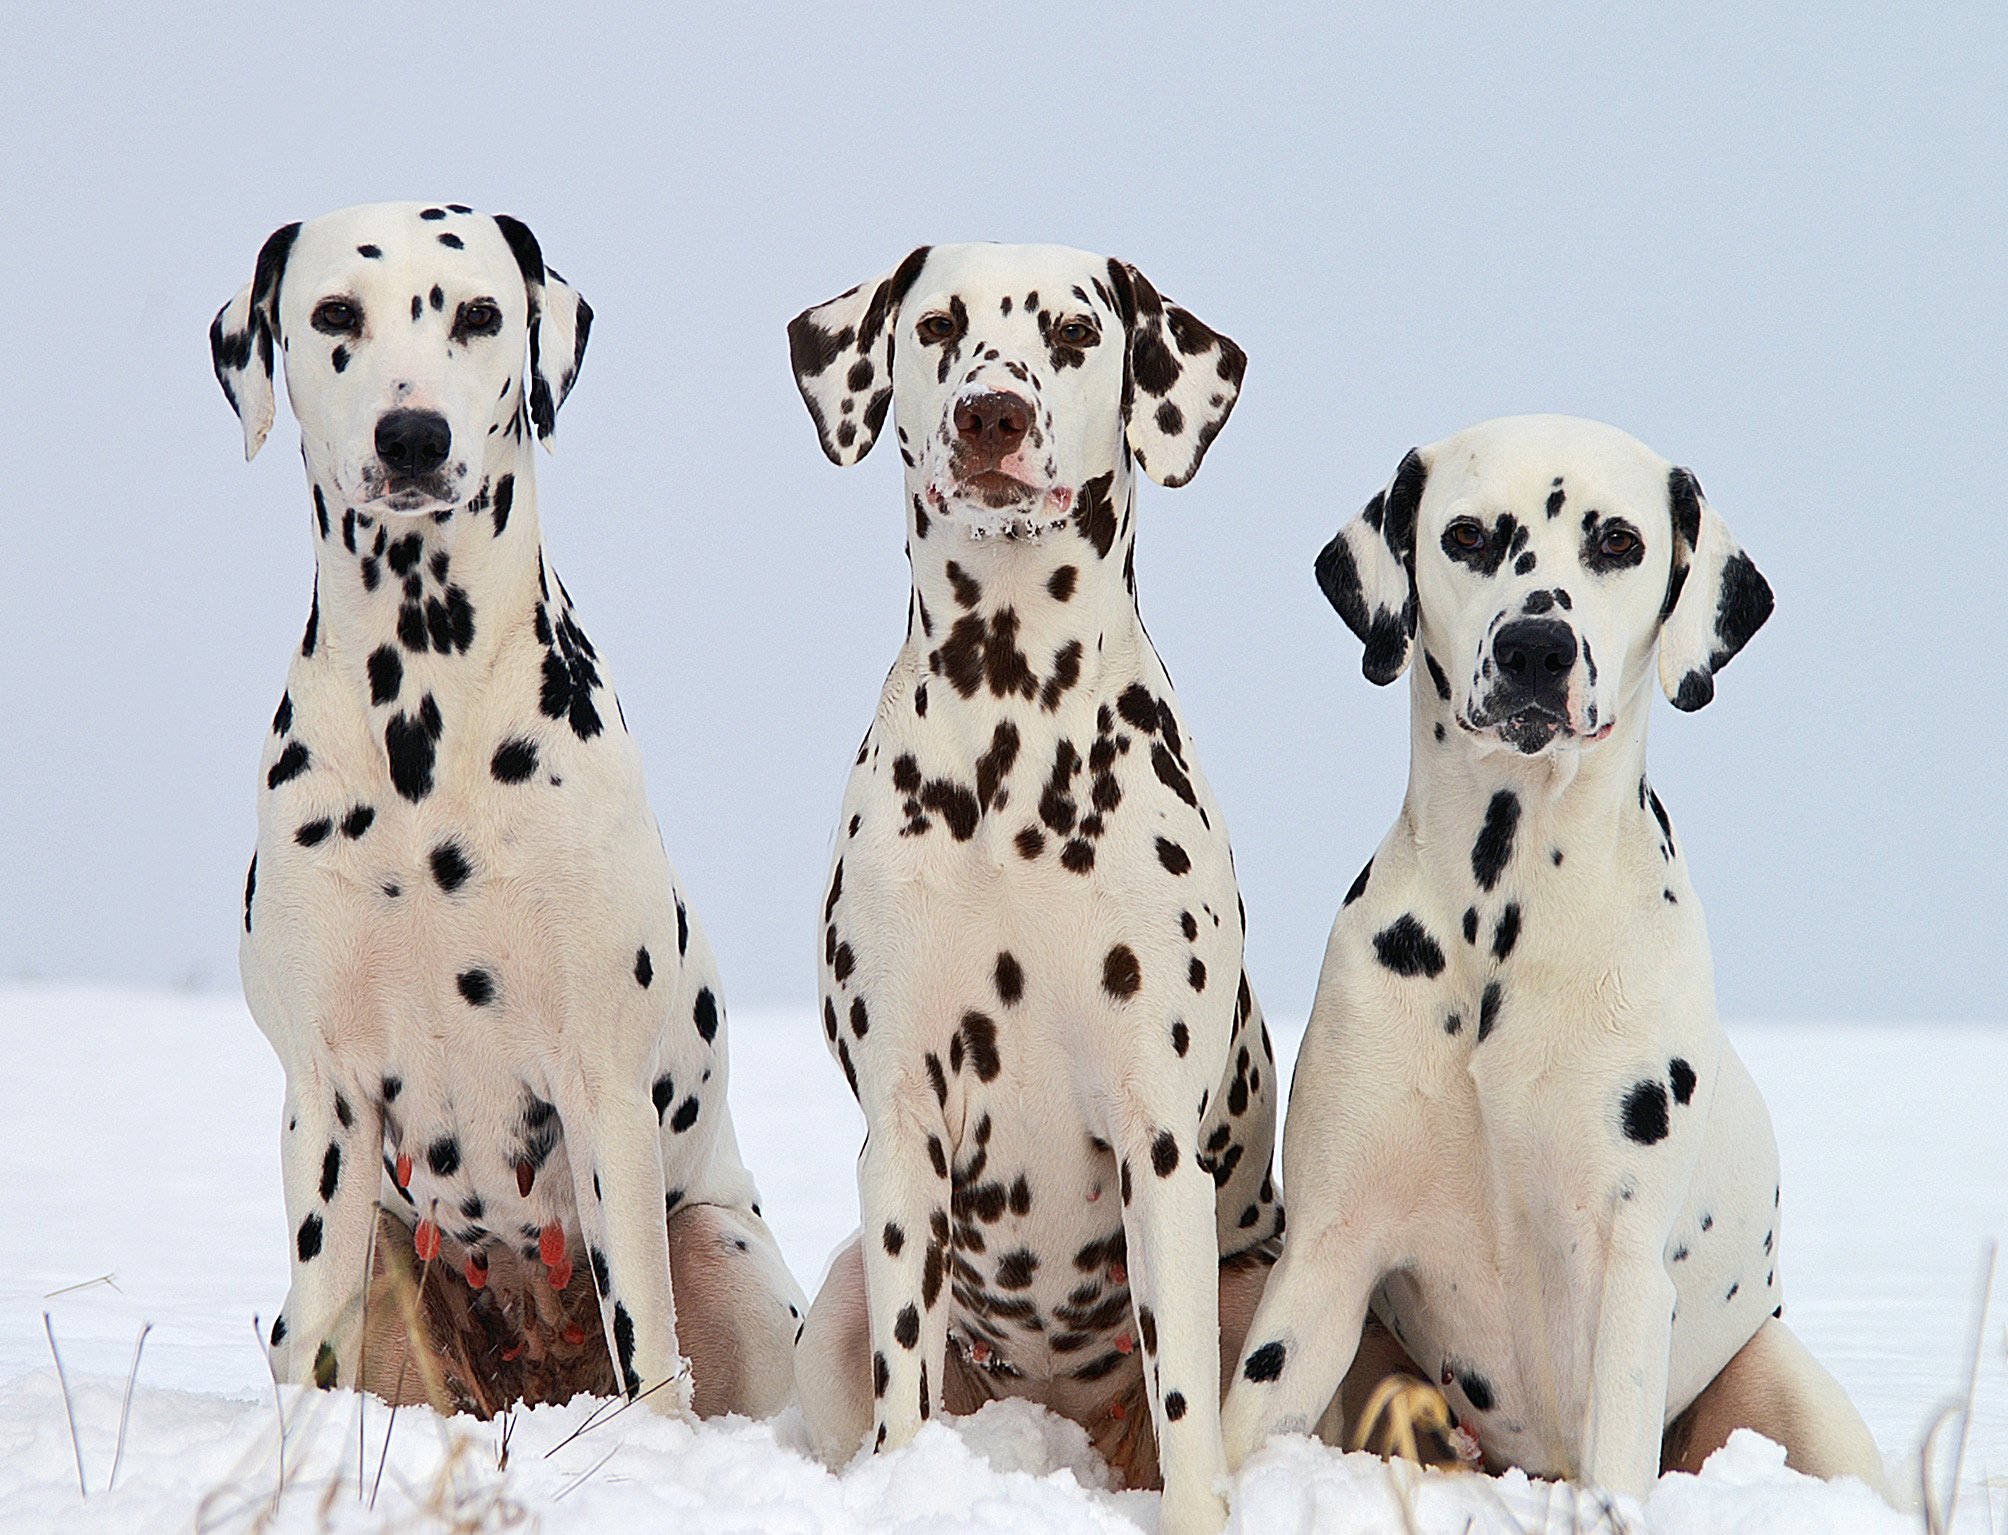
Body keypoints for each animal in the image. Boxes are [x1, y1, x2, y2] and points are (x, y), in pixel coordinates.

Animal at [205, 197, 799, 1422]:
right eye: (334, 315)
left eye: (480, 314)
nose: (413, 436)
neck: (423, 724)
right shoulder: (324, 1100)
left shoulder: (604, 1088)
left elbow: (647, 1340)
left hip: (722, 1245)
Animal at [783, 246, 1285, 1534]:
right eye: (938, 325)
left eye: (1070, 331)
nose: (991, 414)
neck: (1010, 724)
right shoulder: (902, 1127)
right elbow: (902, 1372)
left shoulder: (1159, 1139)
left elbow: (1184, 1401)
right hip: (839, 1298)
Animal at [1212, 415, 1887, 1502]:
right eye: (1466, 535)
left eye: (1618, 541)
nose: (1537, 644)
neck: (1505, 915)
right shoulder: (1323, 1258)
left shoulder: (1624, 1270)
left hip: (1782, 1390)